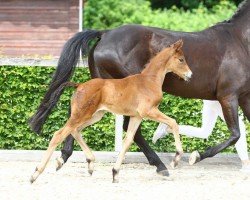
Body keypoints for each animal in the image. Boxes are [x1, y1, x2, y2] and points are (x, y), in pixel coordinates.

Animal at [30, 39, 192, 184]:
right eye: (181, 59)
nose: (189, 75)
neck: (149, 81)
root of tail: (79, 85)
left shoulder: (137, 116)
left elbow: (127, 141)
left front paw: (115, 173)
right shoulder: (149, 111)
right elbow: (173, 122)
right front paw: (176, 158)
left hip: (95, 115)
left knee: (75, 130)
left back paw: (90, 163)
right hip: (82, 115)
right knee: (58, 134)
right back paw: (35, 174)